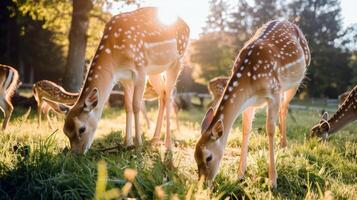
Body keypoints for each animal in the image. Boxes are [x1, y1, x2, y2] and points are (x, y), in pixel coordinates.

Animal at [45, 7, 189, 154]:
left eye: (82, 129)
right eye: (65, 131)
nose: (76, 154)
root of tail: (186, 25)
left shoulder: (140, 68)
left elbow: (136, 105)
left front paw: (138, 145)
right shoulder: (125, 78)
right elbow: (128, 106)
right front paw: (127, 143)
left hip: (177, 61)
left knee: (169, 97)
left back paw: (168, 145)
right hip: (155, 72)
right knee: (163, 95)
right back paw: (154, 140)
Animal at [193, 19, 310, 188]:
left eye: (208, 157)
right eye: (195, 156)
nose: (203, 184)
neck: (251, 80)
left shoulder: (273, 93)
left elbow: (270, 130)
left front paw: (272, 181)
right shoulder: (248, 103)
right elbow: (245, 130)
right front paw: (239, 175)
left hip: (295, 82)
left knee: (285, 107)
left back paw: (283, 145)